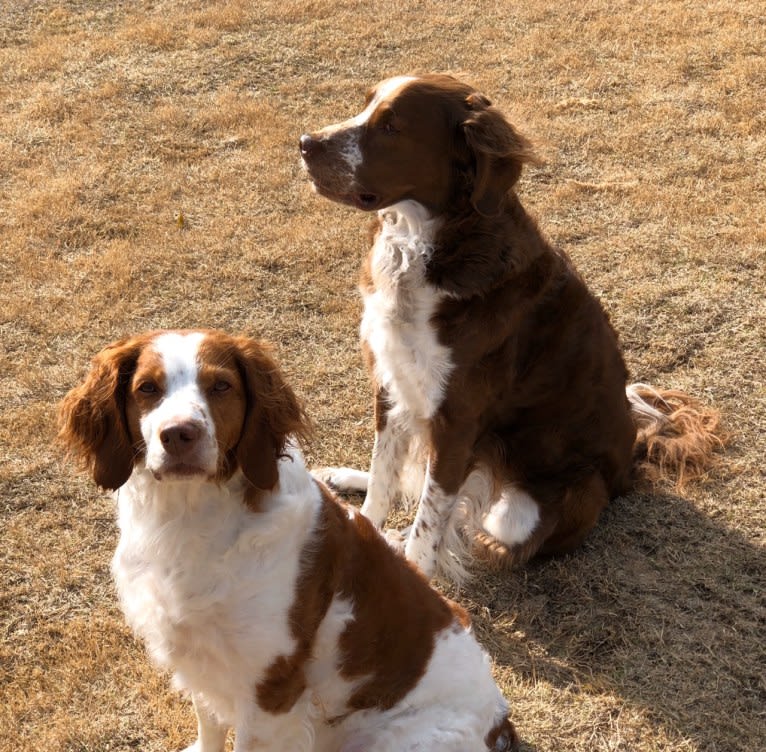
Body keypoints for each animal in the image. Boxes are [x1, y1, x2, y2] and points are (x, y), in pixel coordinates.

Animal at [57, 330, 520, 752]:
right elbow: (209, 724)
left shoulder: (271, 688)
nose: (179, 434)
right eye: (147, 388)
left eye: (221, 386)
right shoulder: (202, 658)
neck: (190, 517)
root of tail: (498, 722)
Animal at [302, 75, 728, 580]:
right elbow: (385, 481)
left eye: (391, 126)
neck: (425, 249)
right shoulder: (391, 384)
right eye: (365, 106)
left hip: (529, 508)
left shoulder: (457, 424)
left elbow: (430, 522)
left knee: (478, 528)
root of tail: (629, 469)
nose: (305, 143)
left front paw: (412, 571)